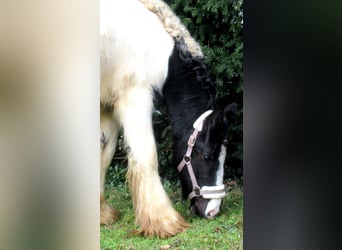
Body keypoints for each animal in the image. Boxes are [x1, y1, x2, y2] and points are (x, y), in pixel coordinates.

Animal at [100, 0, 236, 238]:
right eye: (208, 156)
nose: (213, 211)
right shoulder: (135, 96)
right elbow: (147, 157)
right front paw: (163, 221)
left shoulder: (107, 107)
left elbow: (104, 156)